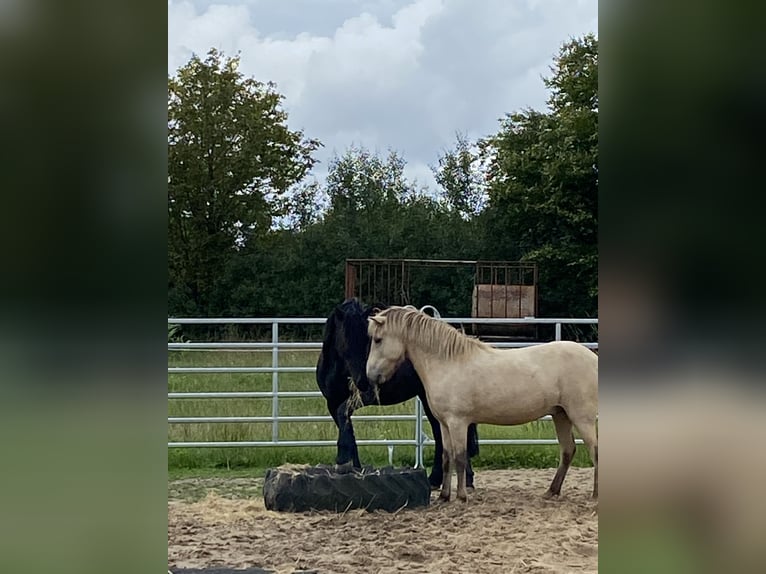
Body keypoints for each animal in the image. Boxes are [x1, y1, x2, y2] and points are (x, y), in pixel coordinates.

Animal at [316, 300, 476, 488]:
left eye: (368, 341)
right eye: (346, 341)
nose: (364, 381)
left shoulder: (365, 397)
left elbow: (344, 416)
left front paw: (342, 462)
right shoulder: (332, 403)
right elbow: (347, 429)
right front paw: (353, 466)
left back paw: (458, 479)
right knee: (442, 433)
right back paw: (439, 479)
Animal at [366, 308, 600, 502]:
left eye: (378, 340)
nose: (371, 375)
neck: (448, 363)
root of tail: (593, 358)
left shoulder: (458, 422)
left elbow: (460, 458)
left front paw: (461, 497)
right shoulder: (444, 424)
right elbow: (446, 457)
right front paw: (443, 496)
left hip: (581, 417)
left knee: (595, 450)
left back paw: (595, 495)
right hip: (561, 415)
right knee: (568, 450)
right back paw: (551, 491)